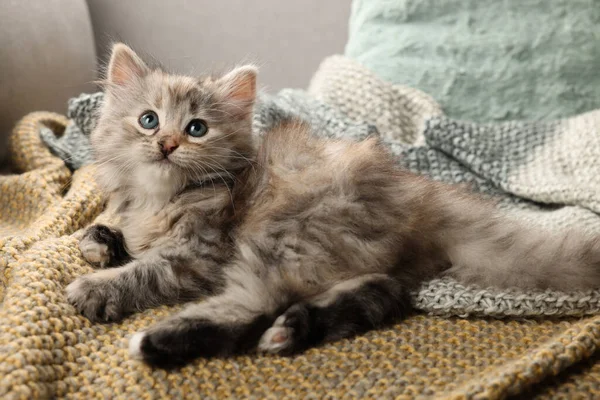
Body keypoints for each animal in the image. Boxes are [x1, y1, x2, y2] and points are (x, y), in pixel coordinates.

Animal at [65, 43, 600, 368]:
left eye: (197, 128)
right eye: (148, 120)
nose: (168, 143)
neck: (159, 196)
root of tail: (416, 194)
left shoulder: (199, 253)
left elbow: (145, 270)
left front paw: (96, 287)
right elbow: (115, 234)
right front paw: (99, 241)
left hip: (283, 234)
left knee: (252, 304)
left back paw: (157, 341)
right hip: (346, 254)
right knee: (380, 294)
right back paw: (295, 329)